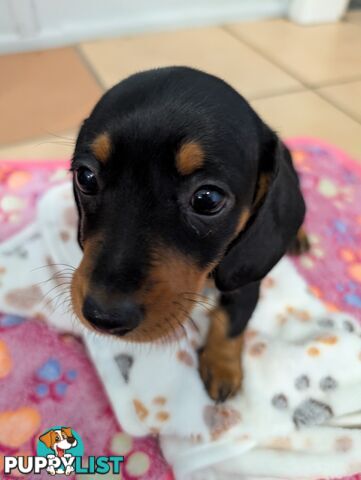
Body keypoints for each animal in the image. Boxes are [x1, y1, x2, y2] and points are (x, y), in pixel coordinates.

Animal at [70, 66, 306, 402]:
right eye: (86, 177)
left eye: (208, 199)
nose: (103, 317)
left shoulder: (244, 278)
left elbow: (232, 321)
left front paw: (222, 367)